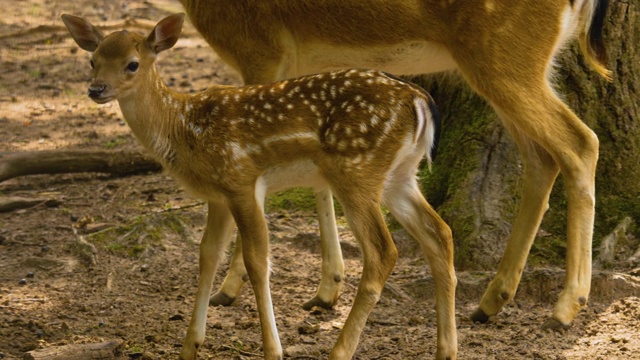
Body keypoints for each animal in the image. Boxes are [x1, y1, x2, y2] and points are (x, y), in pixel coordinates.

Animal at [62, 12, 458, 358]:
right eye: (92, 60)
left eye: (132, 64)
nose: (96, 89)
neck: (185, 127)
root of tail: (421, 100)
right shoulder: (218, 195)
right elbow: (207, 255)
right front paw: (190, 347)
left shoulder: (240, 179)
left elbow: (257, 261)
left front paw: (272, 350)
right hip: (399, 176)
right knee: (440, 233)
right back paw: (446, 350)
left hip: (356, 170)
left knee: (382, 252)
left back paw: (340, 350)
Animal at [180, 0, 608, 330]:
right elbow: (317, 175)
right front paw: (327, 289)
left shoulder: (261, 48)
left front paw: (229, 288)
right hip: (509, 64)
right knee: (541, 157)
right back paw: (491, 301)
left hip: (506, 56)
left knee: (579, 142)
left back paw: (567, 305)